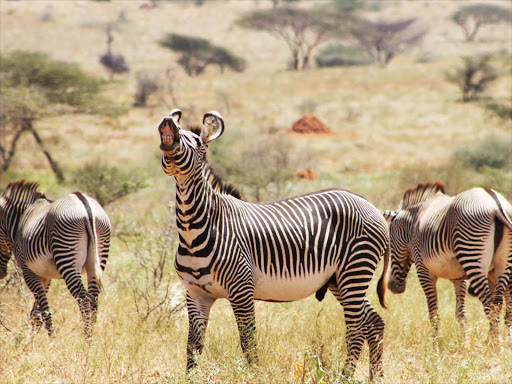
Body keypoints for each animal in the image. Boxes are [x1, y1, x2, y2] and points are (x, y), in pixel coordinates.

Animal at [0, 180, 111, 336]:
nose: (1, 274)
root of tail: (84, 203)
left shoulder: (29, 272)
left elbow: (44, 311)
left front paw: (50, 338)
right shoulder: (45, 276)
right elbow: (36, 313)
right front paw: (31, 338)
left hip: (66, 255)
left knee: (83, 298)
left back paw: (86, 338)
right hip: (98, 255)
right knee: (94, 298)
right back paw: (91, 336)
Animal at [158, 108, 390, 380]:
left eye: (195, 142)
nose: (167, 121)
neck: (194, 229)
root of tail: (370, 205)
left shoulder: (241, 289)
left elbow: (248, 342)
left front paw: (254, 377)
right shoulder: (195, 294)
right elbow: (193, 348)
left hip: (355, 270)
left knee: (355, 330)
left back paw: (345, 378)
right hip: (340, 280)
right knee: (373, 323)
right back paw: (376, 376)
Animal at [380, 183, 512, 342]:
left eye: (390, 242)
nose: (392, 286)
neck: (413, 222)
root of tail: (495, 204)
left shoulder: (424, 271)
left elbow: (434, 314)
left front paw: (434, 345)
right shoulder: (459, 277)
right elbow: (461, 314)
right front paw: (465, 342)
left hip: (472, 255)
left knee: (489, 304)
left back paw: (493, 344)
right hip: (502, 264)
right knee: (499, 303)